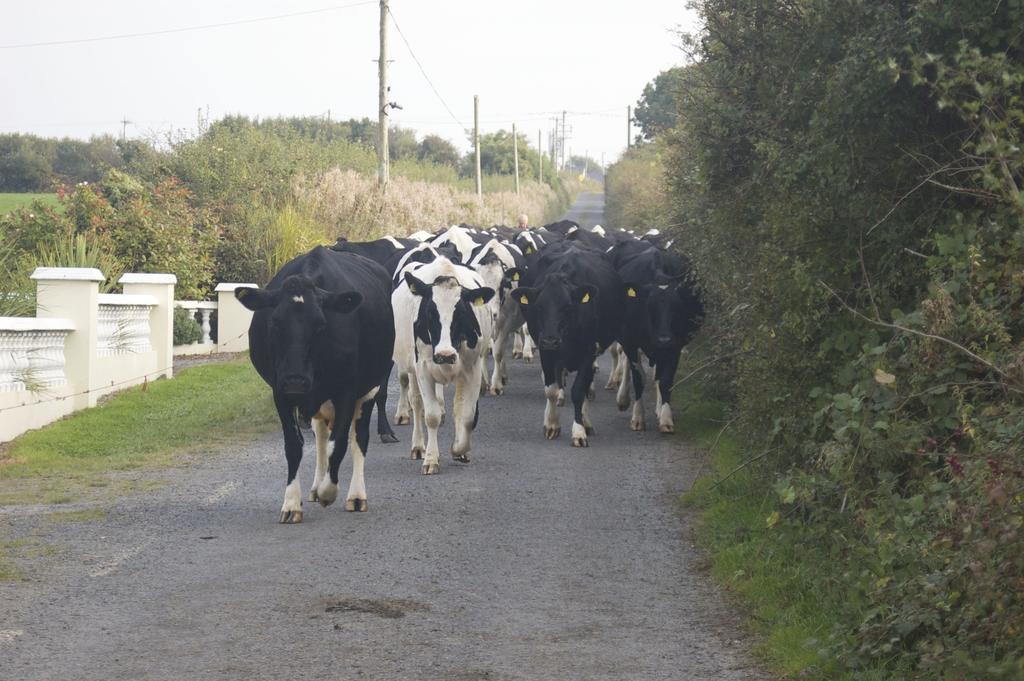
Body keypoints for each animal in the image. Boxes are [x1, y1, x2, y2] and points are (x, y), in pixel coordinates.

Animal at [237, 246, 393, 522]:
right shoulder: (280, 392)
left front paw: (328, 492)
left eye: (320, 324)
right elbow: (294, 446)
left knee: (359, 439)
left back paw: (355, 495)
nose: (295, 379)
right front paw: (291, 503)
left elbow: (339, 443)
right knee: (321, 436)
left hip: (370, 388)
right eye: (275, 322)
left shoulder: (346, 390)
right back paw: (315, 486)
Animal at [389, 254, 493, 473]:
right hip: (412, 368)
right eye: (429, 313)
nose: (445, 354)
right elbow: (431, 416)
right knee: (416, 402)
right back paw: (418, 446)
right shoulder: (423, 369)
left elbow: (467, 415)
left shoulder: (472, 369)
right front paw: (431, 459)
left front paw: (460, 449)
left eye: (461, 314)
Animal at [509, 240, 622, 446]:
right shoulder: (547, 353)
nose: (550, 339)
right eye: (539, 307)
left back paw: (586, 421)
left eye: (568, 307)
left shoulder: (588, 352)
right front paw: (552, 425)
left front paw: (579, 431)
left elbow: (578, 391)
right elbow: (551, 390)